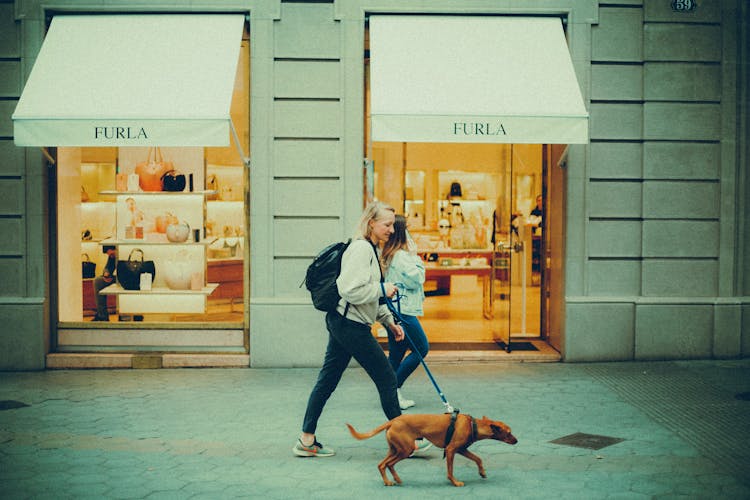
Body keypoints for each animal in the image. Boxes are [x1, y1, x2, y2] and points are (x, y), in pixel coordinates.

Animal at [346, 412, 516, 486]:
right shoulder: (451, 450)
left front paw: (482, 472)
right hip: (405, 450)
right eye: (509, 433)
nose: (516, 440)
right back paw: (390, 481)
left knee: (382, 464)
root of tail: (392, 421)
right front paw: (454, 482)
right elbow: (450, 471)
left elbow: (478, 459)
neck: (472, 424)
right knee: (388, 464)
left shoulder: (462, 450)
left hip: (395, 450)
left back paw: (393, 480)